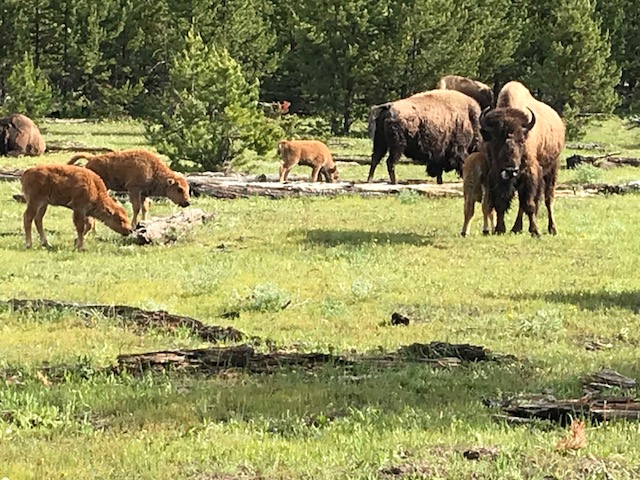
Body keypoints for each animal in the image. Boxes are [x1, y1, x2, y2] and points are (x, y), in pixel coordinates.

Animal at [479, 81, 566, 236]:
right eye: (495, 140)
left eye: (521, 141)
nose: (510, 170)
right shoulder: (496, 174)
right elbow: (501, 202)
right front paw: (499, 229)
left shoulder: (529, 173)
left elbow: (529, 204)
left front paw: (535, 231)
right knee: (525, 203)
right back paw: (516, 228)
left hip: (552, 169)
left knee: (548, 199)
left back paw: (552, 229)